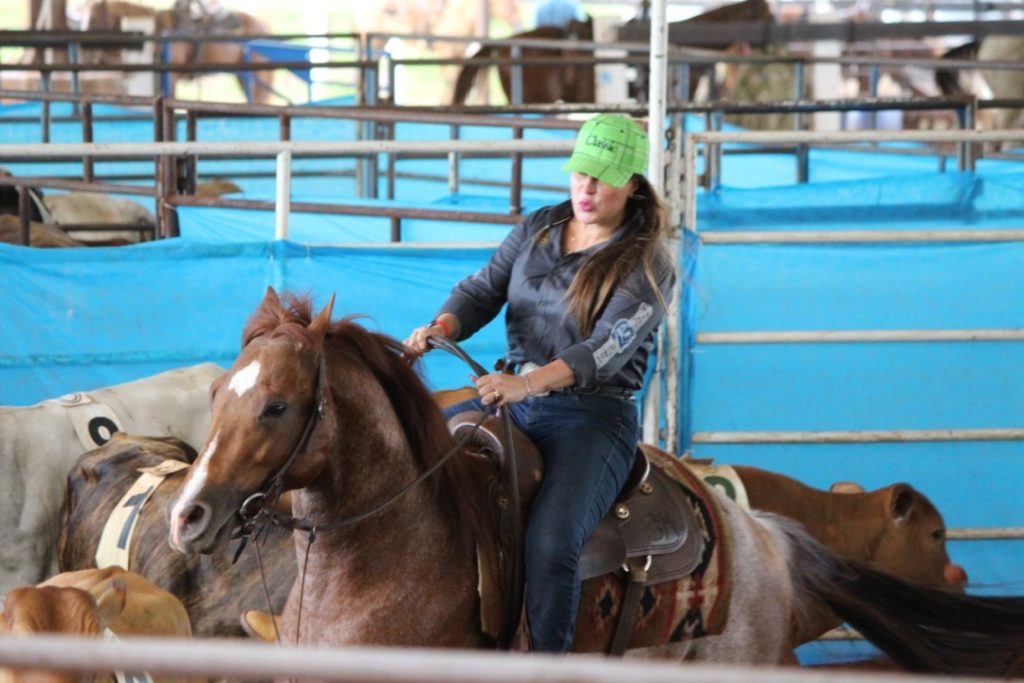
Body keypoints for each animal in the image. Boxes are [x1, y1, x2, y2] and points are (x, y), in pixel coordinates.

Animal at [77, 0, 276, 104]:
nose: (83, 49)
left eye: (93, 19)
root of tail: (266, 26)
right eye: (81, 19)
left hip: (258, 77)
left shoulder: (170, 76)